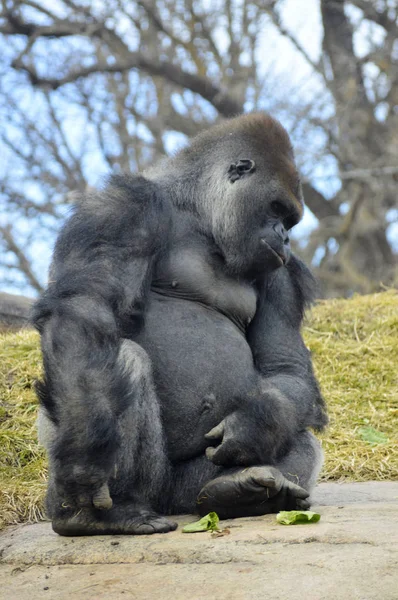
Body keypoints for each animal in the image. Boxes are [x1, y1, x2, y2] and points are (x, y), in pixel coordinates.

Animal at [33, 115, 326, 536]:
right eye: (277, 209)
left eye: (290, 220)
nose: (285, 238)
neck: (197, 212)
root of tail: (167, 502)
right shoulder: (122, 208)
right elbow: (84, 308)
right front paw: (86, 459)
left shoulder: (281, 273)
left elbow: (284, 367)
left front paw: (258, 423)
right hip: (137, 485)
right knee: (122, 361)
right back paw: (100, 513)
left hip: (184, 488)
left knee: (302, 446)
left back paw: (234, 491)